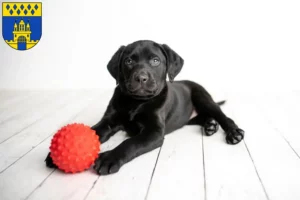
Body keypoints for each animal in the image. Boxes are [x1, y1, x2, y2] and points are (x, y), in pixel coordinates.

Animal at [46, 40, 244, 175]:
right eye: (128, 61)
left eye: (155, 61)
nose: (141, 78)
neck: (136, 102)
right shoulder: (109, 120)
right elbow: (93, 130)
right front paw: (56, 155)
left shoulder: (154, 132)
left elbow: (130, 143)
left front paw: (109, 158)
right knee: (203, 117)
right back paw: (210, 125)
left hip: (203, 98)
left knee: (223, 116)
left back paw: (233, 133)